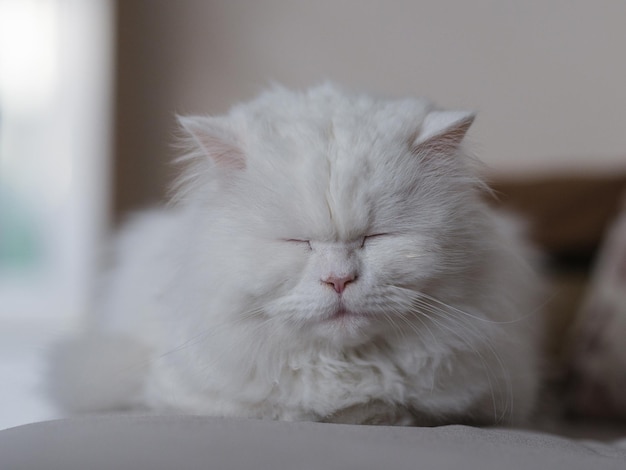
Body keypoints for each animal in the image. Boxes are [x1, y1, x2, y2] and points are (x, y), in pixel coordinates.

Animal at [47, 84, 540, 426]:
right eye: (296, 242)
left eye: (375, 237)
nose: (339, 280)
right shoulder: (181, 389)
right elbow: (278, 408)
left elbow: (400, 409)